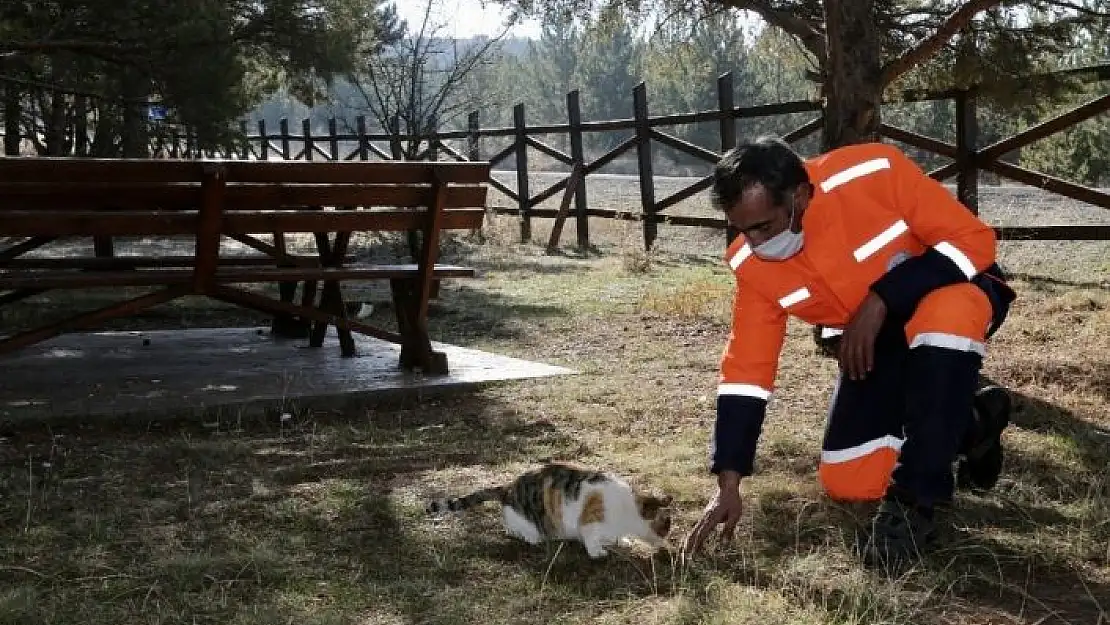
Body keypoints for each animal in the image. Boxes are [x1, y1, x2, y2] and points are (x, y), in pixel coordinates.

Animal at [424, 461, 670, 559]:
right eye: (666, 526)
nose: (667, 543)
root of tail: (508, 487)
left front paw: (622, 541)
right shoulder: (590, 522)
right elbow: (591, 540)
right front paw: (598, 552)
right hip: (529, 520)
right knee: (519, 530)